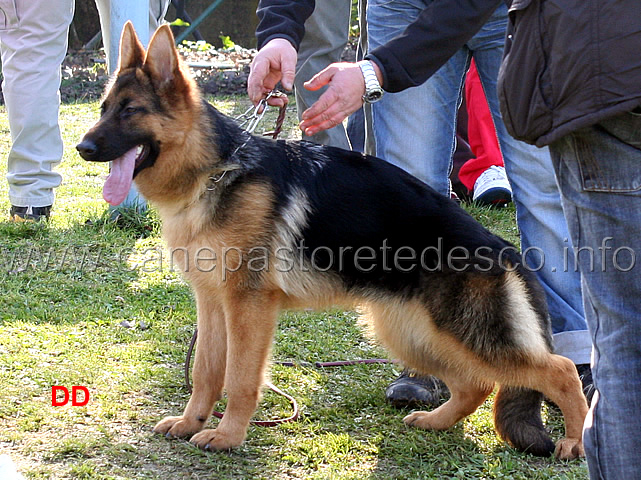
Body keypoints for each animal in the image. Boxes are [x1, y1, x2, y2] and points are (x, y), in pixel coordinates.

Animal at [77, 24, 588, 460]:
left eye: (130, 111)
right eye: (103, 109)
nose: (82, 148)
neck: (216, 171)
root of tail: (501, 245)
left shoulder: (248, 308)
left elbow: (239, 379)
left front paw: (227, 436)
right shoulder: (212, 303)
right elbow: (205, 373)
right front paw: (190, 423)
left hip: (462, 333)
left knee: (558, 371)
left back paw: (575, 443)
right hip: (411, 333)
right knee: (476, 385)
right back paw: (436, 421)